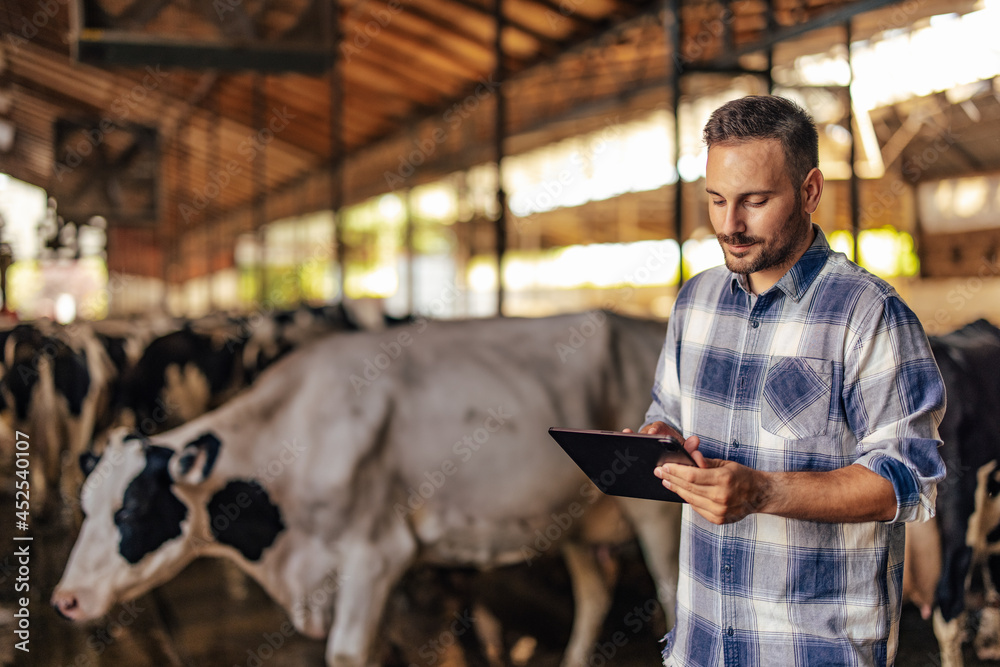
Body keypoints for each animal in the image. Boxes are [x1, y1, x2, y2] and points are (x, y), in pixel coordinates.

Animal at [50, 312, 684, 667]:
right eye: (87, 506)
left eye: (133, 509)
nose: (65, 600)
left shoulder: (377, 553)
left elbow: (348, 652)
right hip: (573, 517)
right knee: (595, 594)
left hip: (656, 517)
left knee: (671, 593)